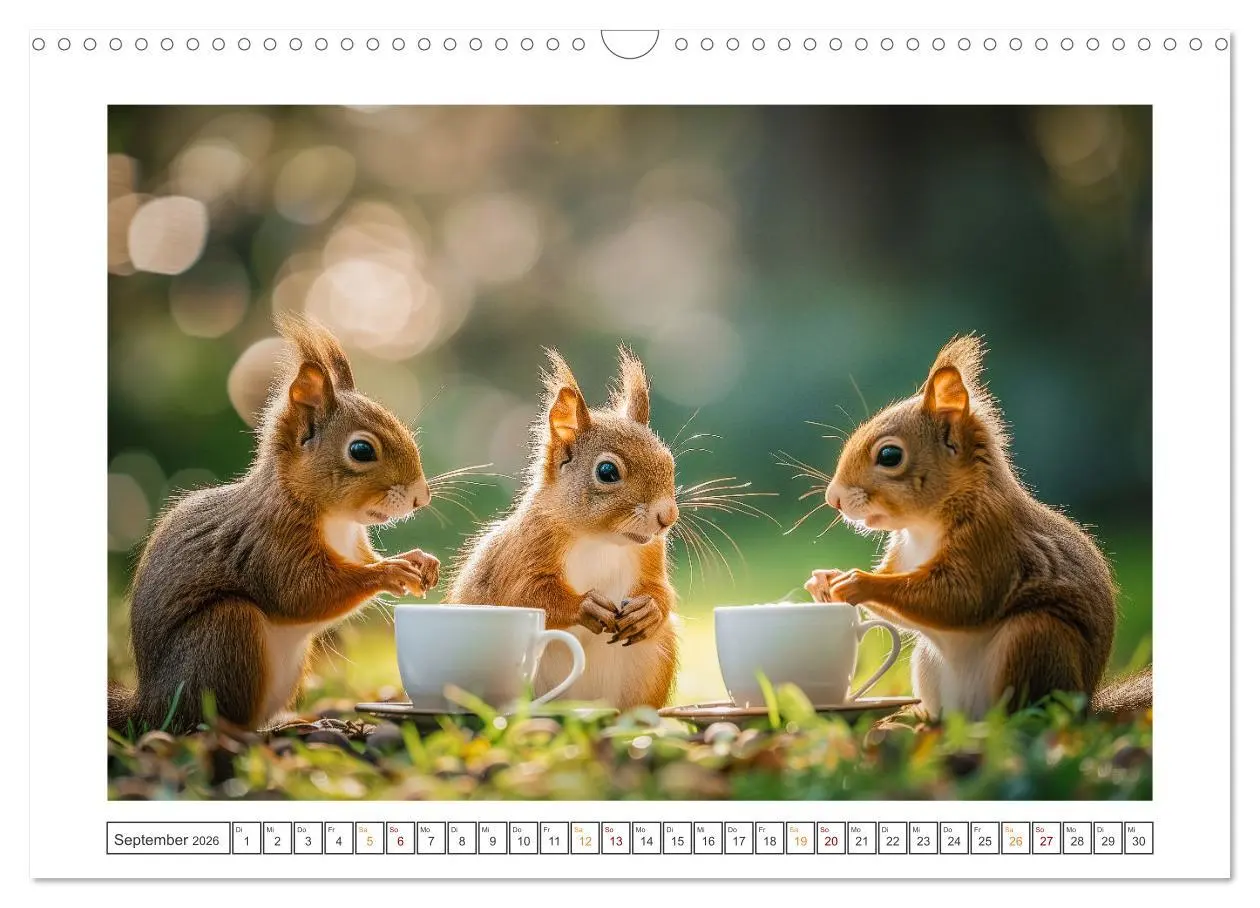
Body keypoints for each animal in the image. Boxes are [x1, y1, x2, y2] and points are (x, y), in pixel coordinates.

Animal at [108, 313, 441, 734]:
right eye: (361, 450)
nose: (421, 497)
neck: (334, 518)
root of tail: (148, 707)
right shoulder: (270, 542)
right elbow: (303, 592)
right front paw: (389, 571)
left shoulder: (354, 544)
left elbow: (357, 563)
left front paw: (419, 560)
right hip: (224, 633)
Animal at [446, 348, 680, 710]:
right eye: (607, 471)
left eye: (669, 461)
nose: (668, 516)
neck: (601, 539)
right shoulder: (526, 547)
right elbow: (523, 594)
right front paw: (585, 605)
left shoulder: (651, 552)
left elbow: (660, 589)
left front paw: (649, 610)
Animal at [804, 335, 1152, 720]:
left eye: (890, 456)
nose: (833, 498)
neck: (924, 525)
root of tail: (1086, 707)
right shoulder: (903, 553)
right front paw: (824, 581)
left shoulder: (990, 539)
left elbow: (961, 598)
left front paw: (859, 582)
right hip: (931, 662)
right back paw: (918, 719)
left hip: (1036, 640)